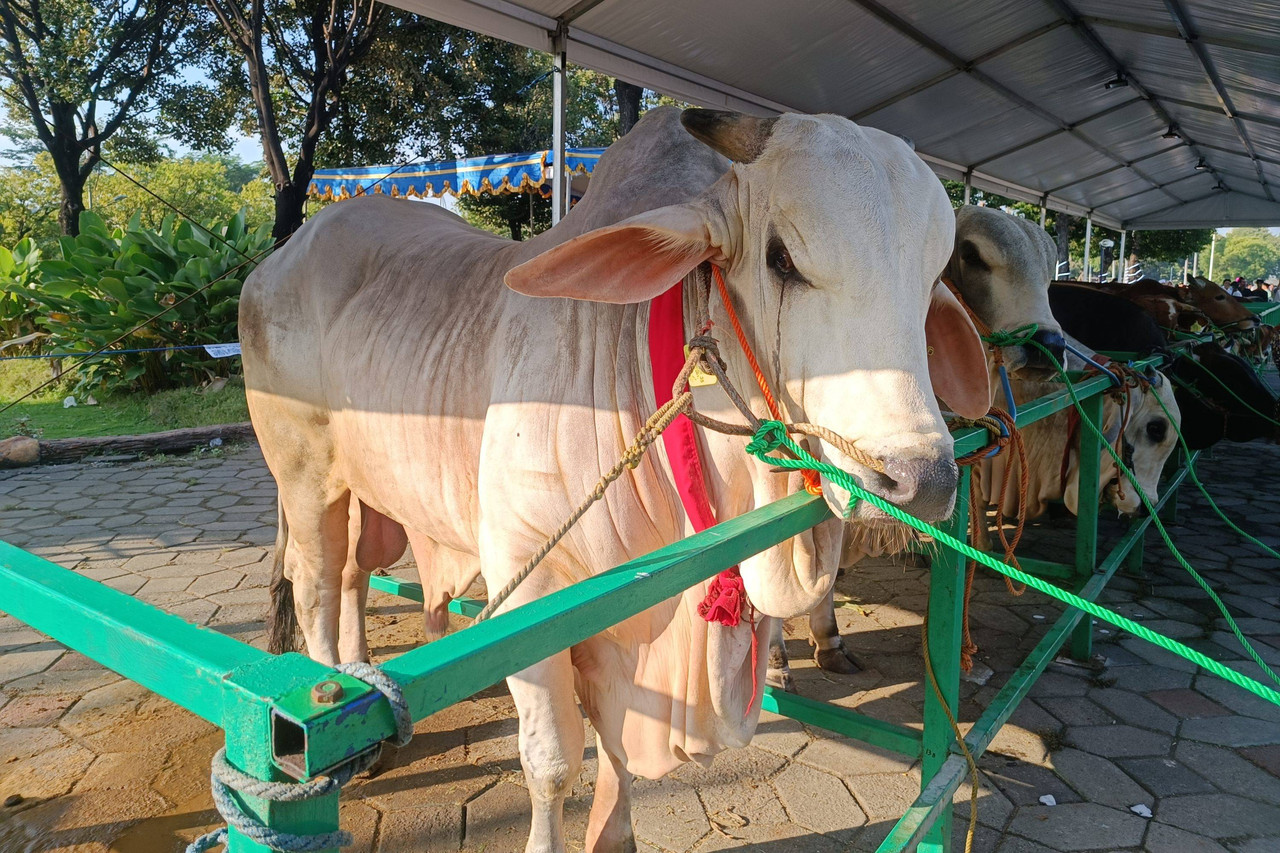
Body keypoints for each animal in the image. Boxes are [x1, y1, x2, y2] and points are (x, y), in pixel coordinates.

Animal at [247, 108, 988, 850]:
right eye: (780, 258)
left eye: (931, 279)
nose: (919, 481)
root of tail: (281, 256)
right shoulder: (529, 584)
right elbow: (552, 760)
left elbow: (616, 737)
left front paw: (617, 830)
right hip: (306, 479)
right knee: (316, 586)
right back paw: (331, 709)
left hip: (365, 493)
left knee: (352, 577)